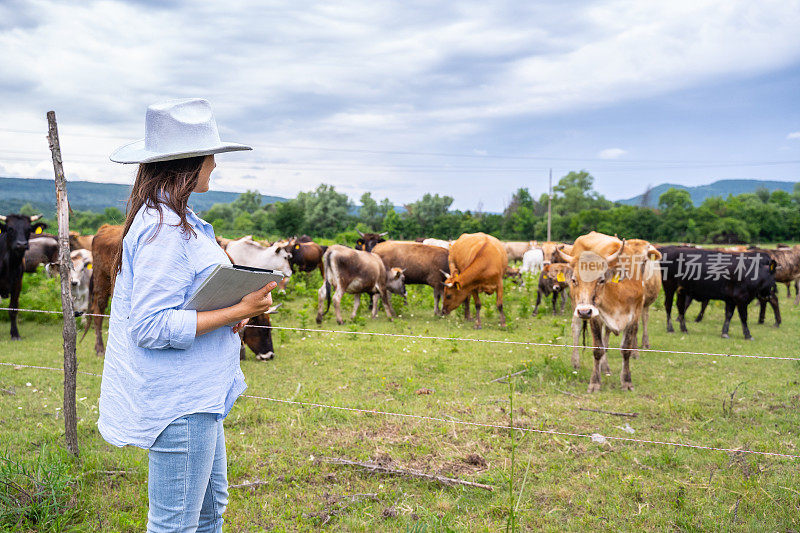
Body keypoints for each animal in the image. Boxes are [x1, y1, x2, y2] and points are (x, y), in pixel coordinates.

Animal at [556, 230, 656, 390]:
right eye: (574, 280)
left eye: (601, 280)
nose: (584, 311)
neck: (619, 291)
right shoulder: (595, 316)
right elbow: (598, 348)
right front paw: (595, 382)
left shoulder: (634, 315)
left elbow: (626, 349)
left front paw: (626, 381)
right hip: (575, 305)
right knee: (576, 328)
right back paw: (576, 361)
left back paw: (605, 367)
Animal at [652, 244, 780, 336]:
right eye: (773, 278)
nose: (768, 295)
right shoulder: (741, 298)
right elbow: (743, 317)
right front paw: (747, 335)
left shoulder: (731, 299)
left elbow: (728, 315)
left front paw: (725, 332)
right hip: (669, 286)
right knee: (668, 305)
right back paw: (670, 329)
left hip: (681, 290)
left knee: (680, 306)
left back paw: (684, 329)